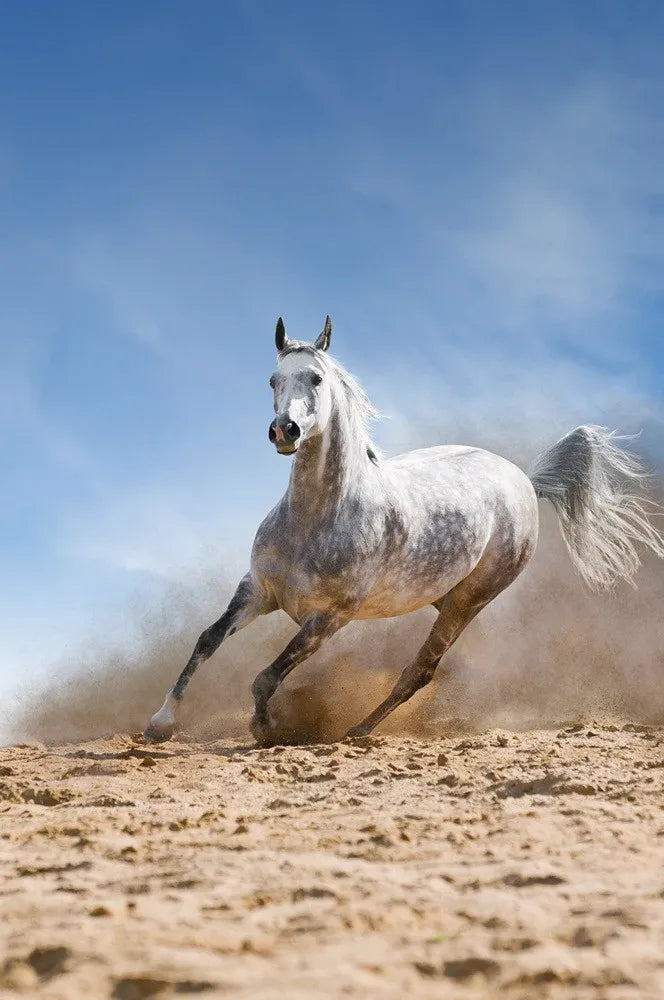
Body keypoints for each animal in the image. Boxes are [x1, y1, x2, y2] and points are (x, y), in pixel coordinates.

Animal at [145, 316, 664, 744]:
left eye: (316, 378)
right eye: (273, 379)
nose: (284, 431)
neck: (318, 519)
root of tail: (525, 481)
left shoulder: (327, 619)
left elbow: (265, 677)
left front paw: (266, 728)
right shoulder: (257, 590)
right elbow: (207, 641)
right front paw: (160, 724)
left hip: (468, 599)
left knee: (422, 670)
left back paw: (357, 731)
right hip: (439, 593)